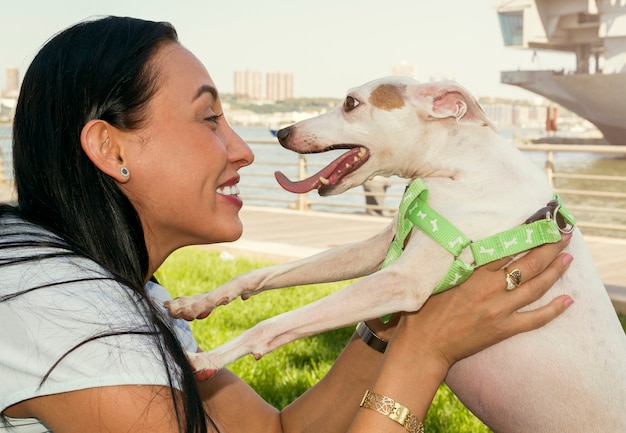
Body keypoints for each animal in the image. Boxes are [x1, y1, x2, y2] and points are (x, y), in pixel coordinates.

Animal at [167, 77, 624, 432]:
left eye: (351, 102)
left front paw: (206, 358)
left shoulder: (401, 281)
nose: (281, 131)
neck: (457, 166)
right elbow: (270, 274)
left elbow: (272, 324)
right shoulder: (381, 248)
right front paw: (199, 302)